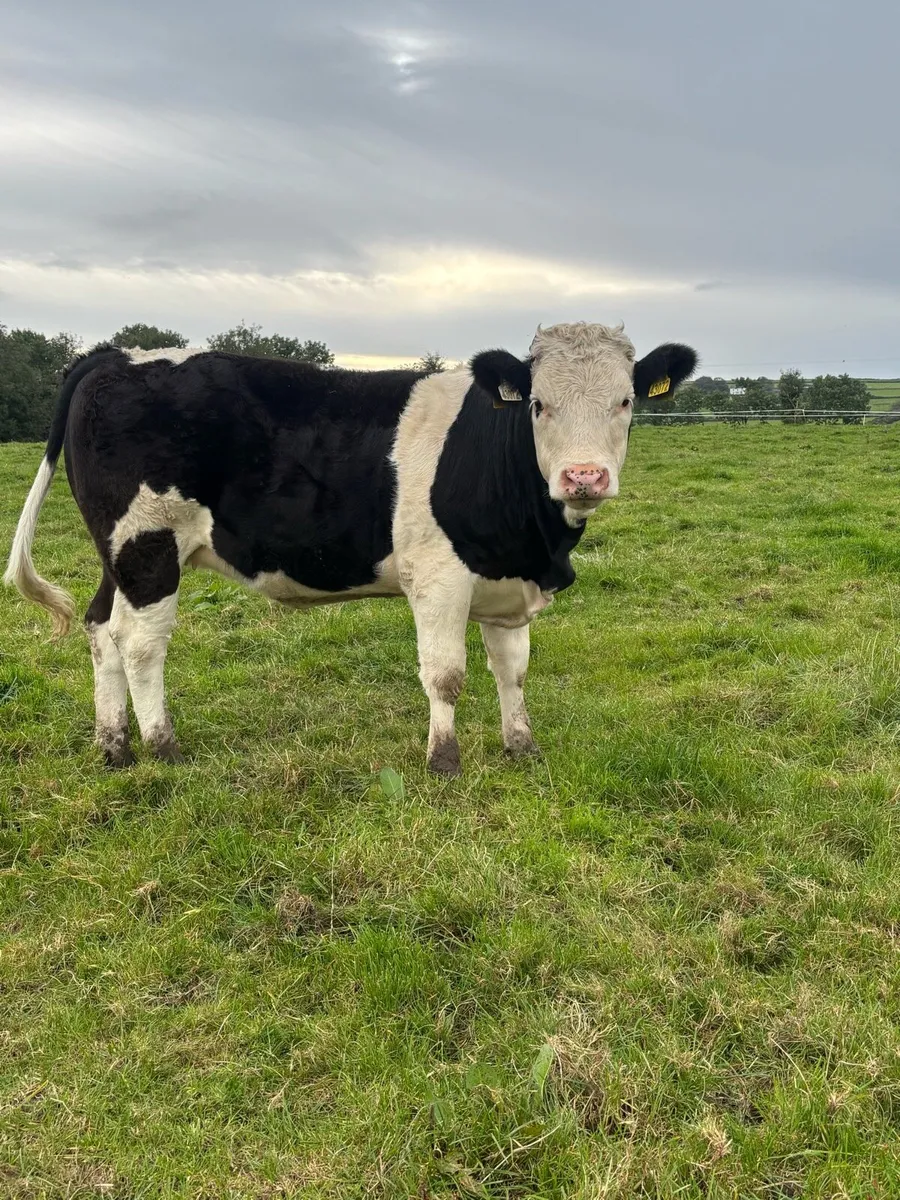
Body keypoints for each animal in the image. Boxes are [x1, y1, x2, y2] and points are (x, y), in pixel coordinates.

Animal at [5, 324, 697, 775]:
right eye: (537, 404)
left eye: (626, 401)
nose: (584, 477)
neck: (535, 543)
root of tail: (116, 354)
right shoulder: (437, 577)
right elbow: (446, 674)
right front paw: (443, 762)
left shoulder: (504, 582)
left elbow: (513, 670)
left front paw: (521, 747)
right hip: (149, 543)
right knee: (140, 642)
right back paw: (163, 748)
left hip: (117, 552)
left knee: (101, 628)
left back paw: (114, 746)